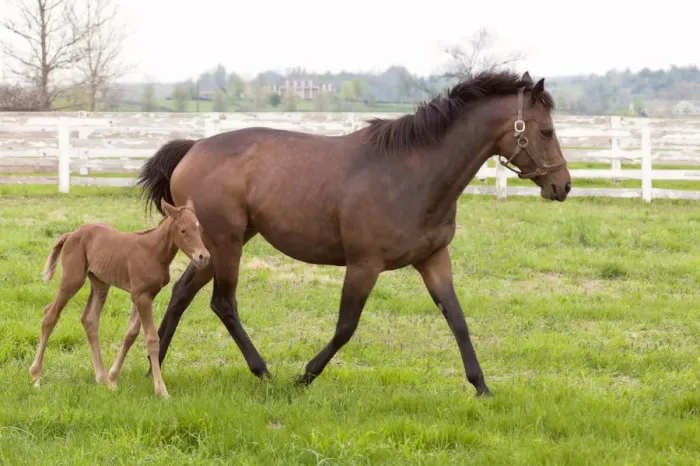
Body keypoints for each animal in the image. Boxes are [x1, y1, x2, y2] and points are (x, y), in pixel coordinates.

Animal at [29, 197, 210, 398]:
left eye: (200, 229)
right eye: (183, 231)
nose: (203, 257)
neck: (153, 251)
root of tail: (71, 234)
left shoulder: (145, 295)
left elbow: (131, 334)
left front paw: (113, 378)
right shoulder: (141, 296)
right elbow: (151, 338)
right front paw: (161, 390)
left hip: (100, 282)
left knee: (89, 319)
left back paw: (101, 378)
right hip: (73, 279)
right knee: (50, 314)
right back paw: (36, 375)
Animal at [135, 70, 571, 397]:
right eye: (546, 131)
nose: (563, 185)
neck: (415, 173)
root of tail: (193, 148)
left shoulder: (433, 259)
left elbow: (457, 318)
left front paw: (481, 387)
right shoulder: (364, 265)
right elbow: (346, 327)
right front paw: (304, 376)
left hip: (218, 246)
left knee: (182, 293)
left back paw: (153, 369)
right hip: (227, 246)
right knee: (223, 304)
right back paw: (263, 372)